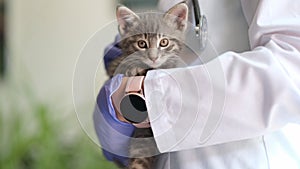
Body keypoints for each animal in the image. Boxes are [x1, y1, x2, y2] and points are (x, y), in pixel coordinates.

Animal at [106, 1, 189, 169]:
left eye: (164, 42)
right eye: (141, 43)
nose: (153, 57)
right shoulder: (115, 65)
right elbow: (117, 66)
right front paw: (130, 67)